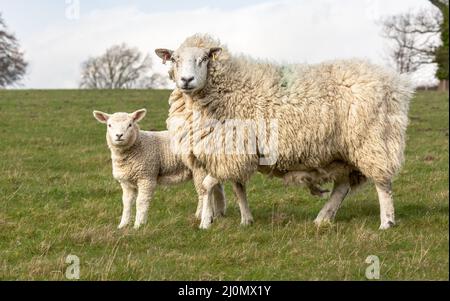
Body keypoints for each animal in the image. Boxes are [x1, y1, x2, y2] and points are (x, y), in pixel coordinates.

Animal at [92, 109, 225, 229]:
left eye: (130, 124)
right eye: (109, 125)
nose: (119, 135)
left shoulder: (146, 177)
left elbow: (141, 201)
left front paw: (138, 225)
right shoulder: (126, 183)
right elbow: (126, 203)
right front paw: (122, 225)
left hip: (199, 170)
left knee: (203, 192)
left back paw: (201, 216)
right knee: (216, 188)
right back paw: (217, 214)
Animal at [156, 33, 414, 230]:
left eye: (204, 59)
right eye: (175, 59)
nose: (186, 79)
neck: (227, 89)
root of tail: (395, 84)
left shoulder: (232, 150)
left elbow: (208, 185)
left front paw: (206, 221)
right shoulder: (233, 152)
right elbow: (234, 187)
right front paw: (244, 219)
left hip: (372, 141)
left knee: (383, 183)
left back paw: (386, 222)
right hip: (342, 152)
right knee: (342, 186)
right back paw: (323, 218)